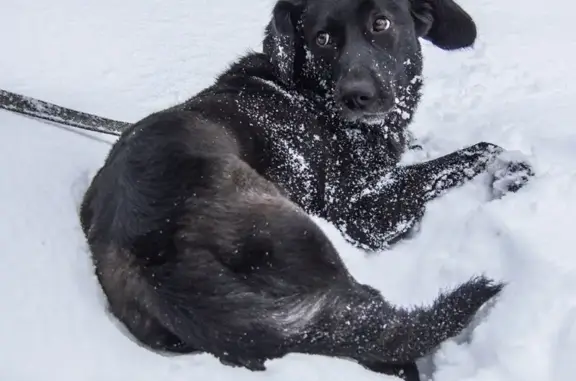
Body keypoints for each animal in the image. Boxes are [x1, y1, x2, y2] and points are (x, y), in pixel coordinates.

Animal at [80, 0, 532, 378]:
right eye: (322, 39)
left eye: (380, 23)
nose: (356, 97)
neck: (312, 97)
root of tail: (166, 268)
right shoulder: (358, 215)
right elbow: (474, 153)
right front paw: (509, 167)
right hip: (297, 230)